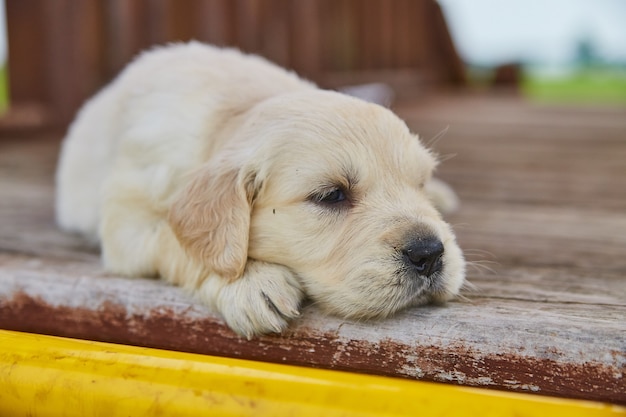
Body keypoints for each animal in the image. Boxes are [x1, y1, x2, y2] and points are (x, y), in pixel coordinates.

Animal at [57, 40, 464, 336]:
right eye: (332, 195)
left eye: (419, 182)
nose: (429, 253)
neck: (234, 112)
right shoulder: (128, 218)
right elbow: (173, 241)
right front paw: (253, 282)